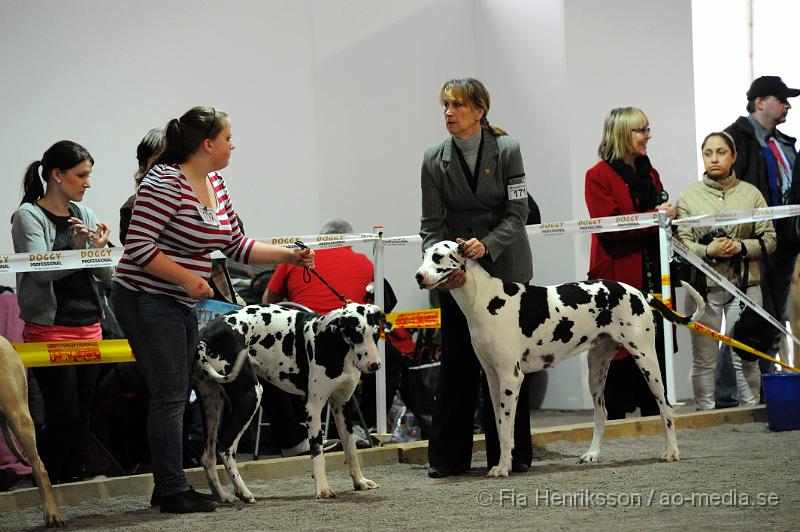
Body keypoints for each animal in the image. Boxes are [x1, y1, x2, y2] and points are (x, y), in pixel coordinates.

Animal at [192, 302, 382, 500]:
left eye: (376, 334)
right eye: (356, 335)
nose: (374, 365)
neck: (331, 340)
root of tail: (205, 332)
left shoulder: (341, 406)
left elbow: (351, 449)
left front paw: (359, 481)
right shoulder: (313, 408)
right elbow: (318, 452)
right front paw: (322, 488)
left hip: (212, 404)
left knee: (208, 457)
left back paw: (222, 496)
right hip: (250, 396)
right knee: (225, 449)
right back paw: (243, 491)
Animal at [416, 241, 704, 478]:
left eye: (438, 257)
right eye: (424, 255)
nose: (418, 276)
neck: (483, 299)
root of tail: (639, 292)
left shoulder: (511, 377)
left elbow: (507, 429)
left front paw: (503, 467)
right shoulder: (492, 378)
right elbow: (499, 427)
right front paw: (502, 463)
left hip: (646, 361)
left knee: (666, 408)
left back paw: (671, 451)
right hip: (596, 369)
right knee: (602, 413)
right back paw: (593, 454)